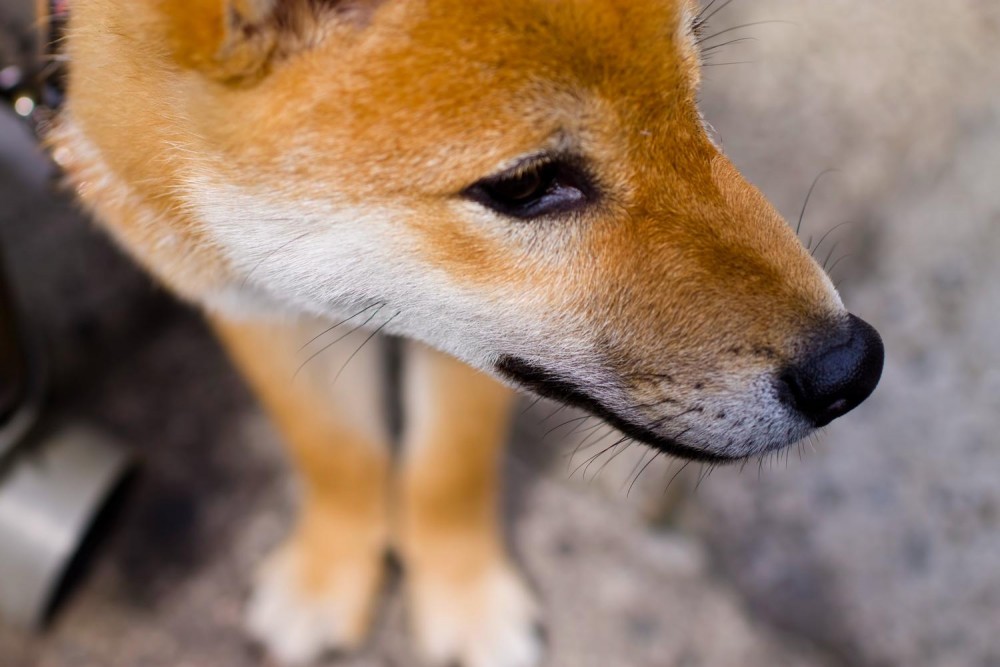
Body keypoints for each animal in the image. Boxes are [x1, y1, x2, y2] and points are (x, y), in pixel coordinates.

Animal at [48, 1, 884, 667]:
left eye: (690, 86)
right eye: (524, 184)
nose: (852, 366)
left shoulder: (470, 342)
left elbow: (449, 470)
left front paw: (464, 601)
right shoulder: (245, 296)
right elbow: (338, 454)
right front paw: (331, 574)